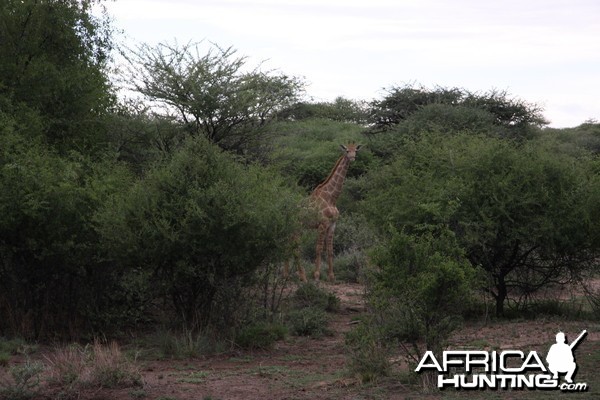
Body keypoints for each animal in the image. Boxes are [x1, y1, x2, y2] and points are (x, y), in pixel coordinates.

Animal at [286, 143, 360, 282]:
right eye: (347, 151)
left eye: (356, 151)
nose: (352, 158)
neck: (331, 198)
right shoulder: (322, 224)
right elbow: (319, 249)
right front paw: (316, 275)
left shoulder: (332, 225)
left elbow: (330, 250)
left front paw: (332, 276)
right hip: (297, 227)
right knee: (296, 248)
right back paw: (303, 276)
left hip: (295, 228)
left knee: (290, 247)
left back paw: (286, 275)